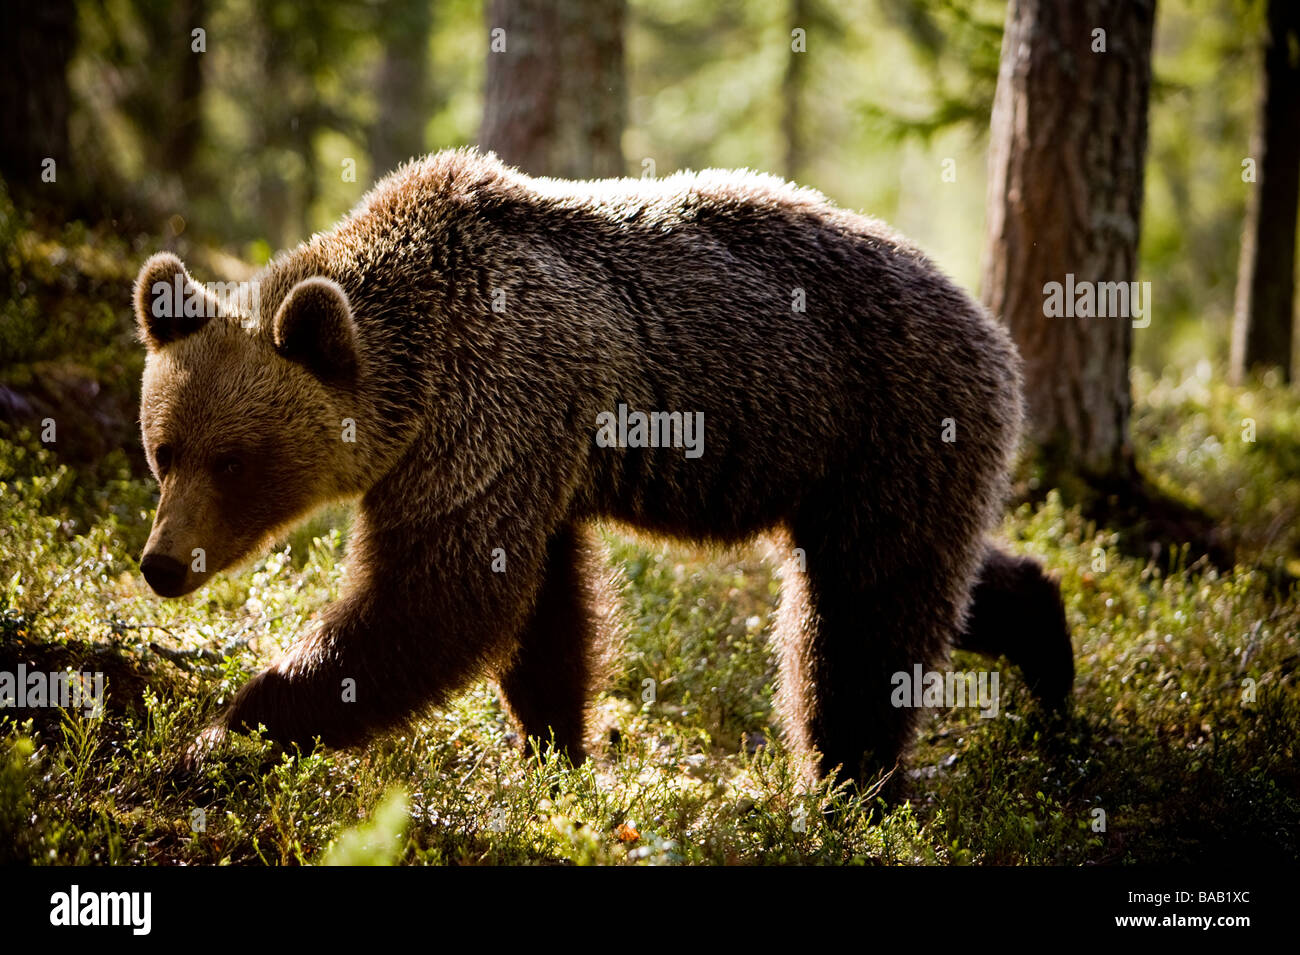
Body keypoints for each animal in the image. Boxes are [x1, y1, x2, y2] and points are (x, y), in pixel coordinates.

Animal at [133, 148, 1072, 788]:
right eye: (164, 450)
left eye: (234, 461)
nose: (162, 563)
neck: (420, 367)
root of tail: (990, 327)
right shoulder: (522, 457)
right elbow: (544, 617)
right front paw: (555, 751)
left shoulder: (494, 410)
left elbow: (436, 600)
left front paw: (216, 739)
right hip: (848, 470)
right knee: (940, 580)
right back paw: (1050, 669)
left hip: (885, 420)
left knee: (860, 619)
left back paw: (850, 785)